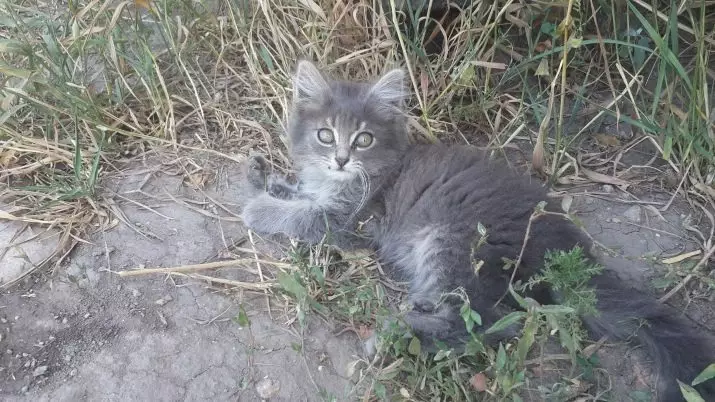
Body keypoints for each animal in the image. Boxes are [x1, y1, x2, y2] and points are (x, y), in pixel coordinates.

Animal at [242, 60, 715, 402]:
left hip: (455, 242)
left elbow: (301, 215)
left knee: (485, 325)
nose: (340, 159)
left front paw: (256, 206)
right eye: (325, 135)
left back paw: (395, 337)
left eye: (363, 140)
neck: (369, 174)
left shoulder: (353, 222)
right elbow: (298, 195)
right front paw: (264, 178)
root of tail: (566, 249)